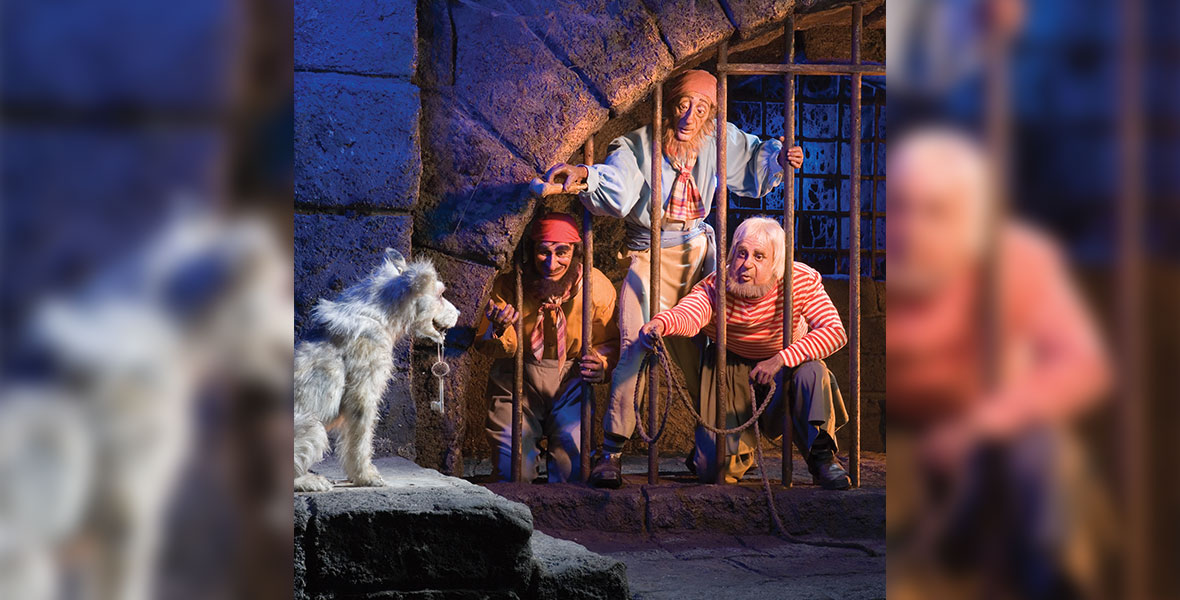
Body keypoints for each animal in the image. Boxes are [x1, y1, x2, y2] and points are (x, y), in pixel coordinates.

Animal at [295, 248, 460, 491]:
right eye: (439, 294)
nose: (458, 312)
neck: (380, 315)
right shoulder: (363, 394)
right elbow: (361, 440)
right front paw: (366, 477)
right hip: (313, 428)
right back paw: (312, 481)